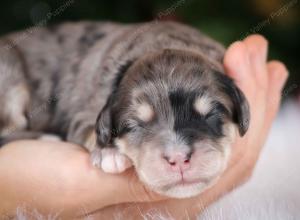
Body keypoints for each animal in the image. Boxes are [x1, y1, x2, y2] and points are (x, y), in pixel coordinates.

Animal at [0, 21, 248, 199]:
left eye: (211, 115)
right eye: (134, 125)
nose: (178, 158)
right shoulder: (84, 115)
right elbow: (92, 130)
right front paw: (110, 153)